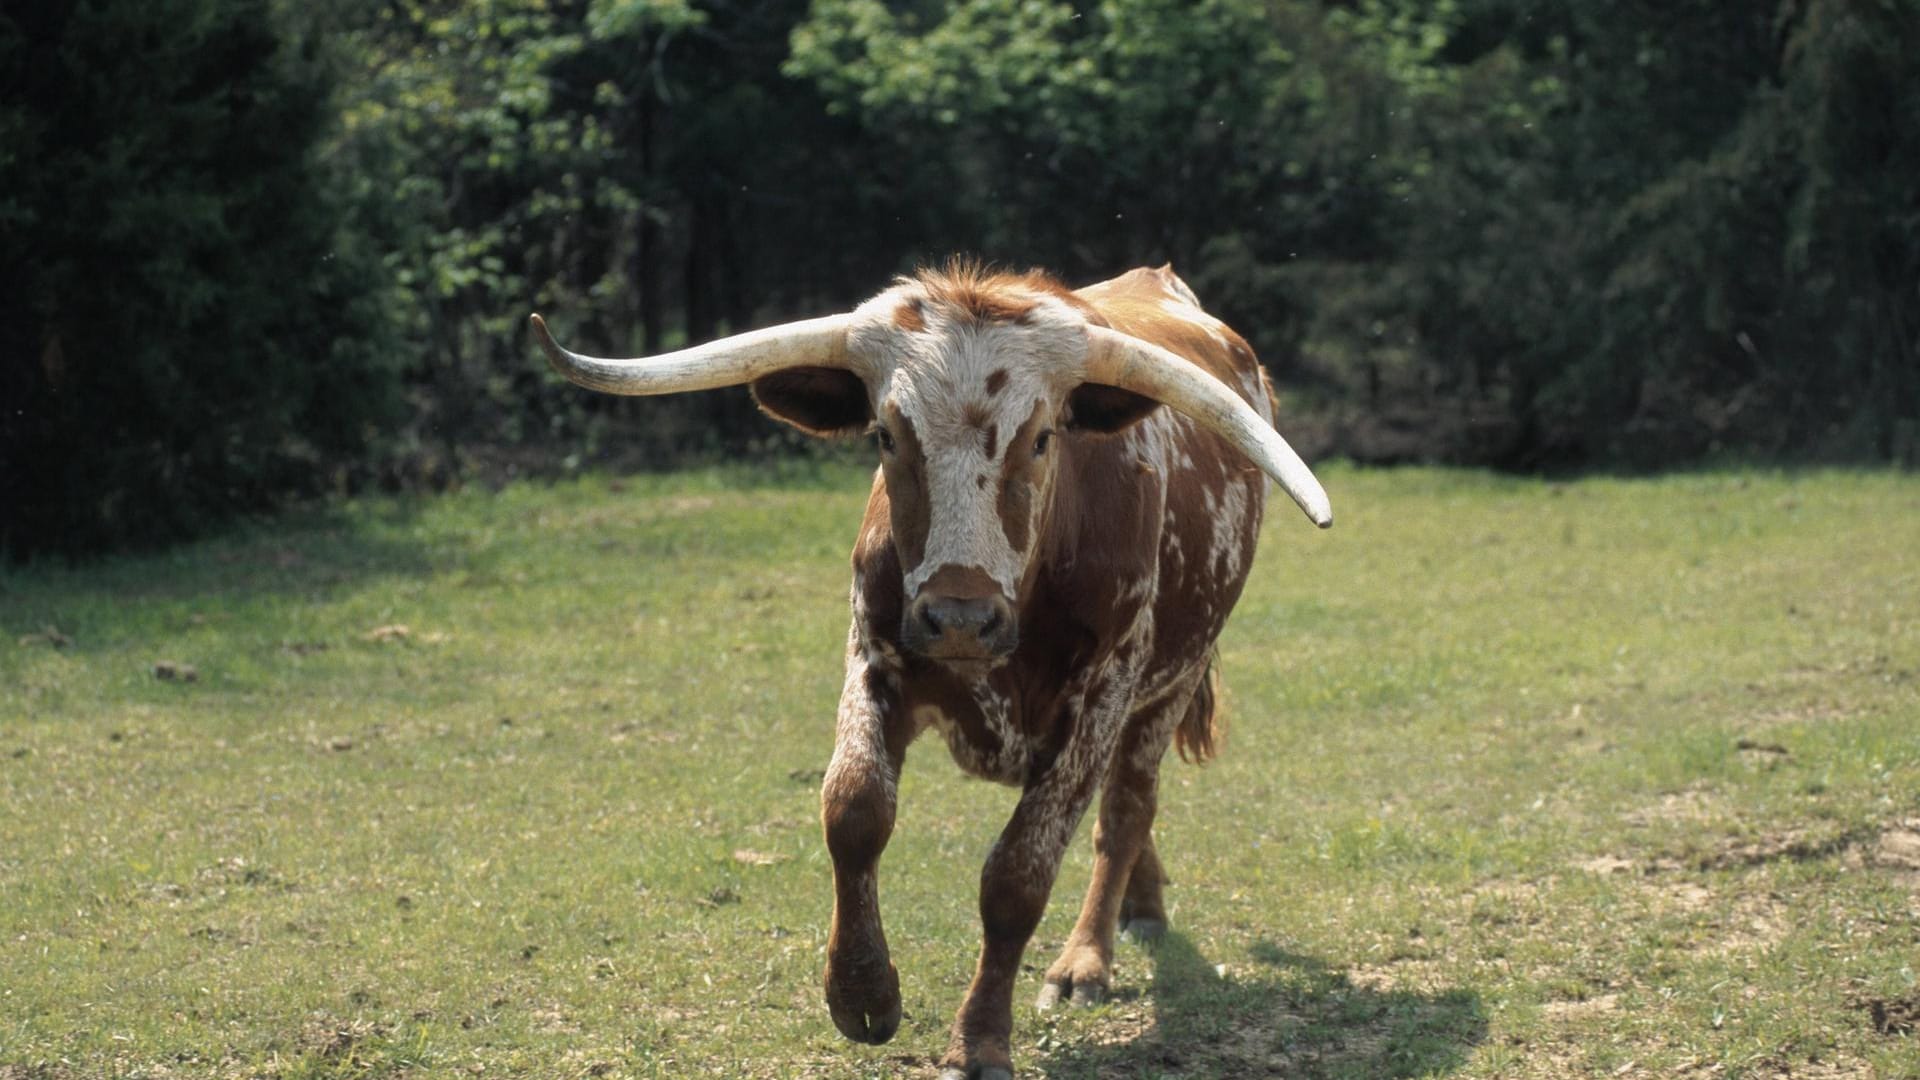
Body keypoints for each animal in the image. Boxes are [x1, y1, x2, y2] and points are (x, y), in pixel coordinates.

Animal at [533, 263, 1328, 1076]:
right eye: (887, 435)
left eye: (1043, 438)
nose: (961, 618)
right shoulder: (874, 655)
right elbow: (853, 809)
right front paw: (861, 993)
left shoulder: (1102, 696)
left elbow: (1018, 874)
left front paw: (979, 1037)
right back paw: (1143, 903)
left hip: (1171, 682)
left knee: (1127, 807)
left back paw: (1088, 956)